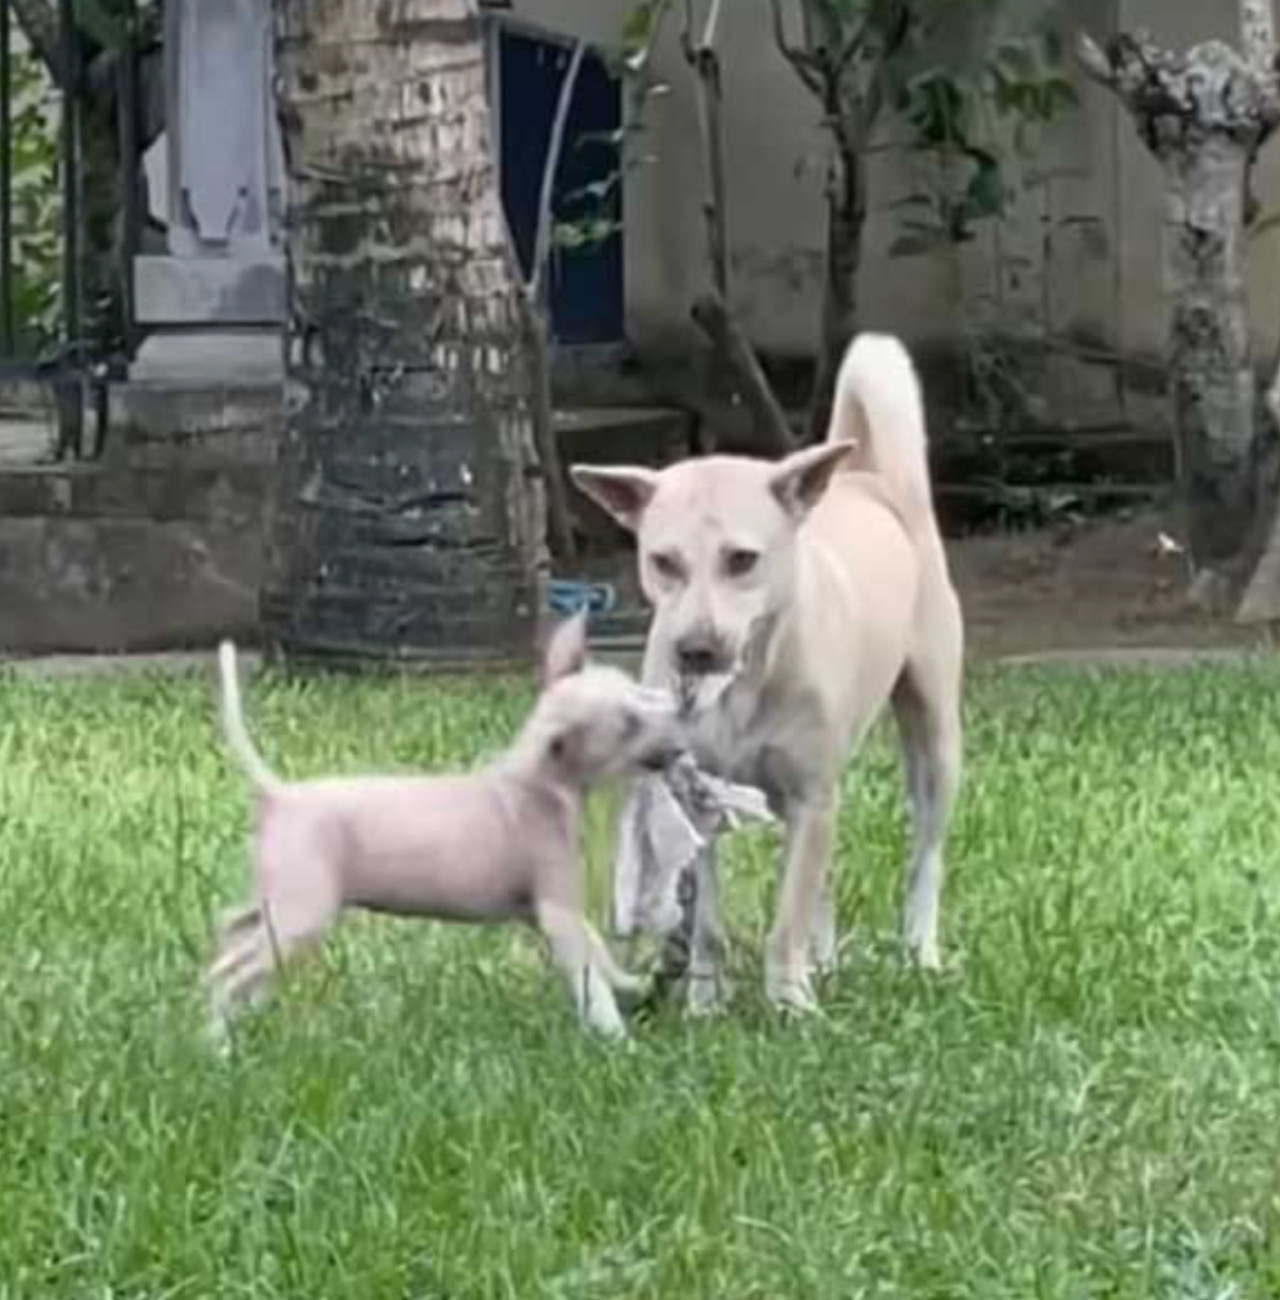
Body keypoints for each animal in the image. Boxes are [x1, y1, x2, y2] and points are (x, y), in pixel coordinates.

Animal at [207, 611, 691, 1045]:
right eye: (629, 725)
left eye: (638, 691)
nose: (682, 712)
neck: (539, 784)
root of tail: (278, 794)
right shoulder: (557, 912)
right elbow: (588, 976)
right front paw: (618, 1038)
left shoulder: (544, 910)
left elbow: (598, 951)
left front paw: (632, 981)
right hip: (303, 913)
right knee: (226, 974)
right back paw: (218, 1046)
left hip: (278, 900)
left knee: (234, 930)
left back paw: (244, 1008)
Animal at [569, 332, 956, 1013]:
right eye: (662, 561)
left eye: (743, 559)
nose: (695, 650)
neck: (742, 687)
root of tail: (866, 480)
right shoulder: (701, 800)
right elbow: (709, 920)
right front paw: (704, 1004)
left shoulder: (810, 793)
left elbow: (788, 916)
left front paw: (790, 1004)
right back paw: (824, 961)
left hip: (933, 738)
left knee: (923, 857)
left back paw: (919, 953)